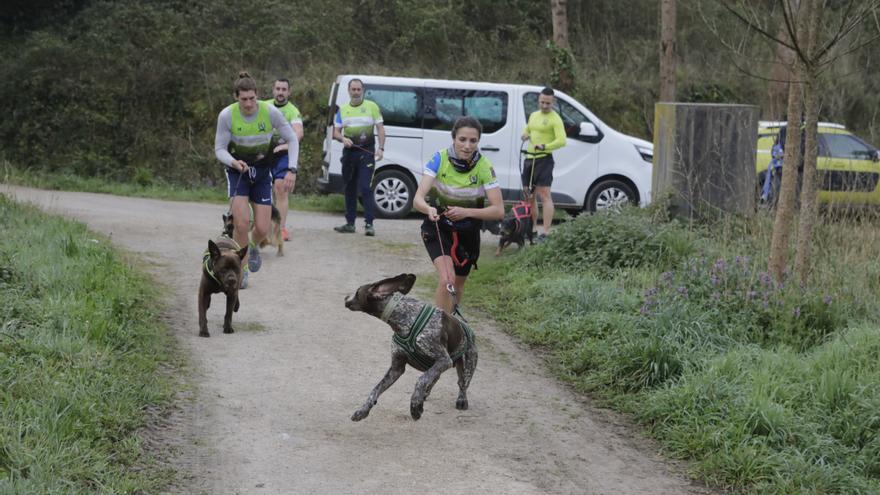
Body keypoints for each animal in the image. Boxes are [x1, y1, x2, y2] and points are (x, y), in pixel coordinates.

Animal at [346, 274, 482, 420]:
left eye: (357, 292)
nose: (345, 298)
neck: (406, 317)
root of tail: (467, 325)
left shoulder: (444, 360)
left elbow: (421, 380)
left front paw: (415, 406)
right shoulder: (396, 368)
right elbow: (376, 389)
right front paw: (363, 410)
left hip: (467, 365)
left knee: (462, 383)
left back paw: (461, 400)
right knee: (435, 378)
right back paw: (425, 394)